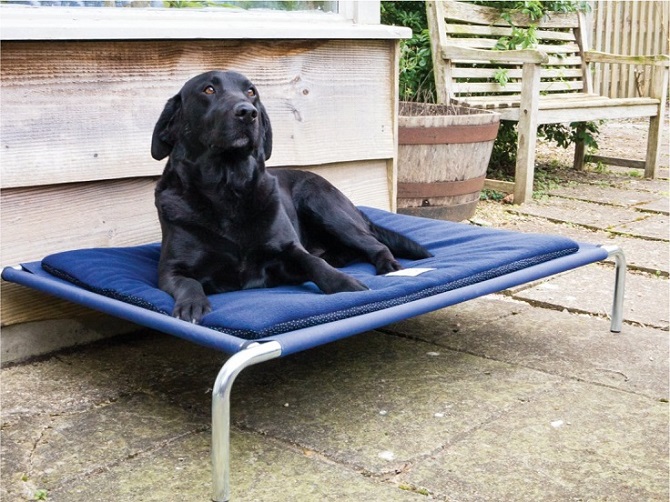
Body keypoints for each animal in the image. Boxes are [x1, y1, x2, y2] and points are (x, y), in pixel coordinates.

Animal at [152, 69, 434, 322]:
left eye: (251, 91)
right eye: (208, 90)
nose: (248, 112)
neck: (227, 189)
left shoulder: (289, 249)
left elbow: (314, 263)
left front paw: (344, 283)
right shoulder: (170, 270)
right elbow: (188, 283)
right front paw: (192, 304)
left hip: (324, 208)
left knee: (375, 244)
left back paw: (388, 265)